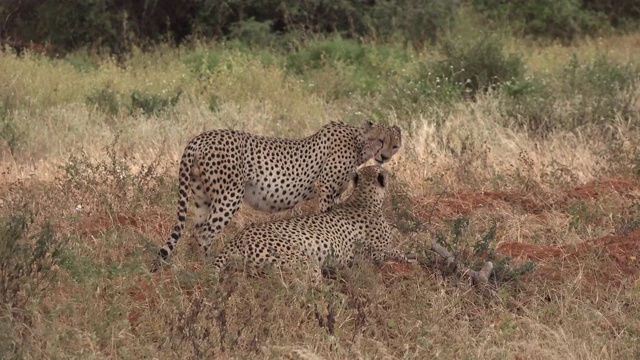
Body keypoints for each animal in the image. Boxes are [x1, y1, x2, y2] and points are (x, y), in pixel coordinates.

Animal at [153, 121, 400, 270]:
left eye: (395, 145)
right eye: (380, 140)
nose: (385, 157)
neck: (358, 142)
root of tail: (202, 136)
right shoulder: (326, 187)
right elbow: (326, 217)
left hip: (201, 196)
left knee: (195, 231)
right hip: (230, 195)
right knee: (204, 233)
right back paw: (208, 264)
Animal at [212, 165, 408, 280]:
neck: (363, 197)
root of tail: (236, 239)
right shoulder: (374, 254)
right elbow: (395, 252)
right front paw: (407, 257)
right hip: (302, 262)